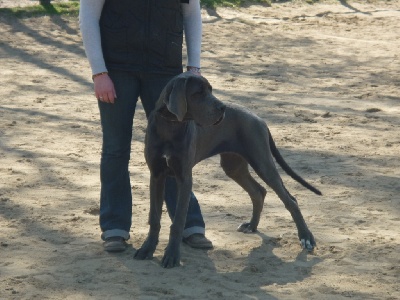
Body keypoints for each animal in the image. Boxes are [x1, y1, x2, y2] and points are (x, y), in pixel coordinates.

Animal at [134, 72, 322, 268]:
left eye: (210, 90)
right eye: (198, 93)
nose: (222, 107)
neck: (170, 125)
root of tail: (259, 119)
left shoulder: (184, 178)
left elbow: (178, 222)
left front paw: (171, 256)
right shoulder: (156, 175)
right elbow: (154, 217)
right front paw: (147, 249)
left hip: (262, 162)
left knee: (290, 200)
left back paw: (306, 238)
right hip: (234, 166)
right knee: (258, 191)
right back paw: (252, 225)